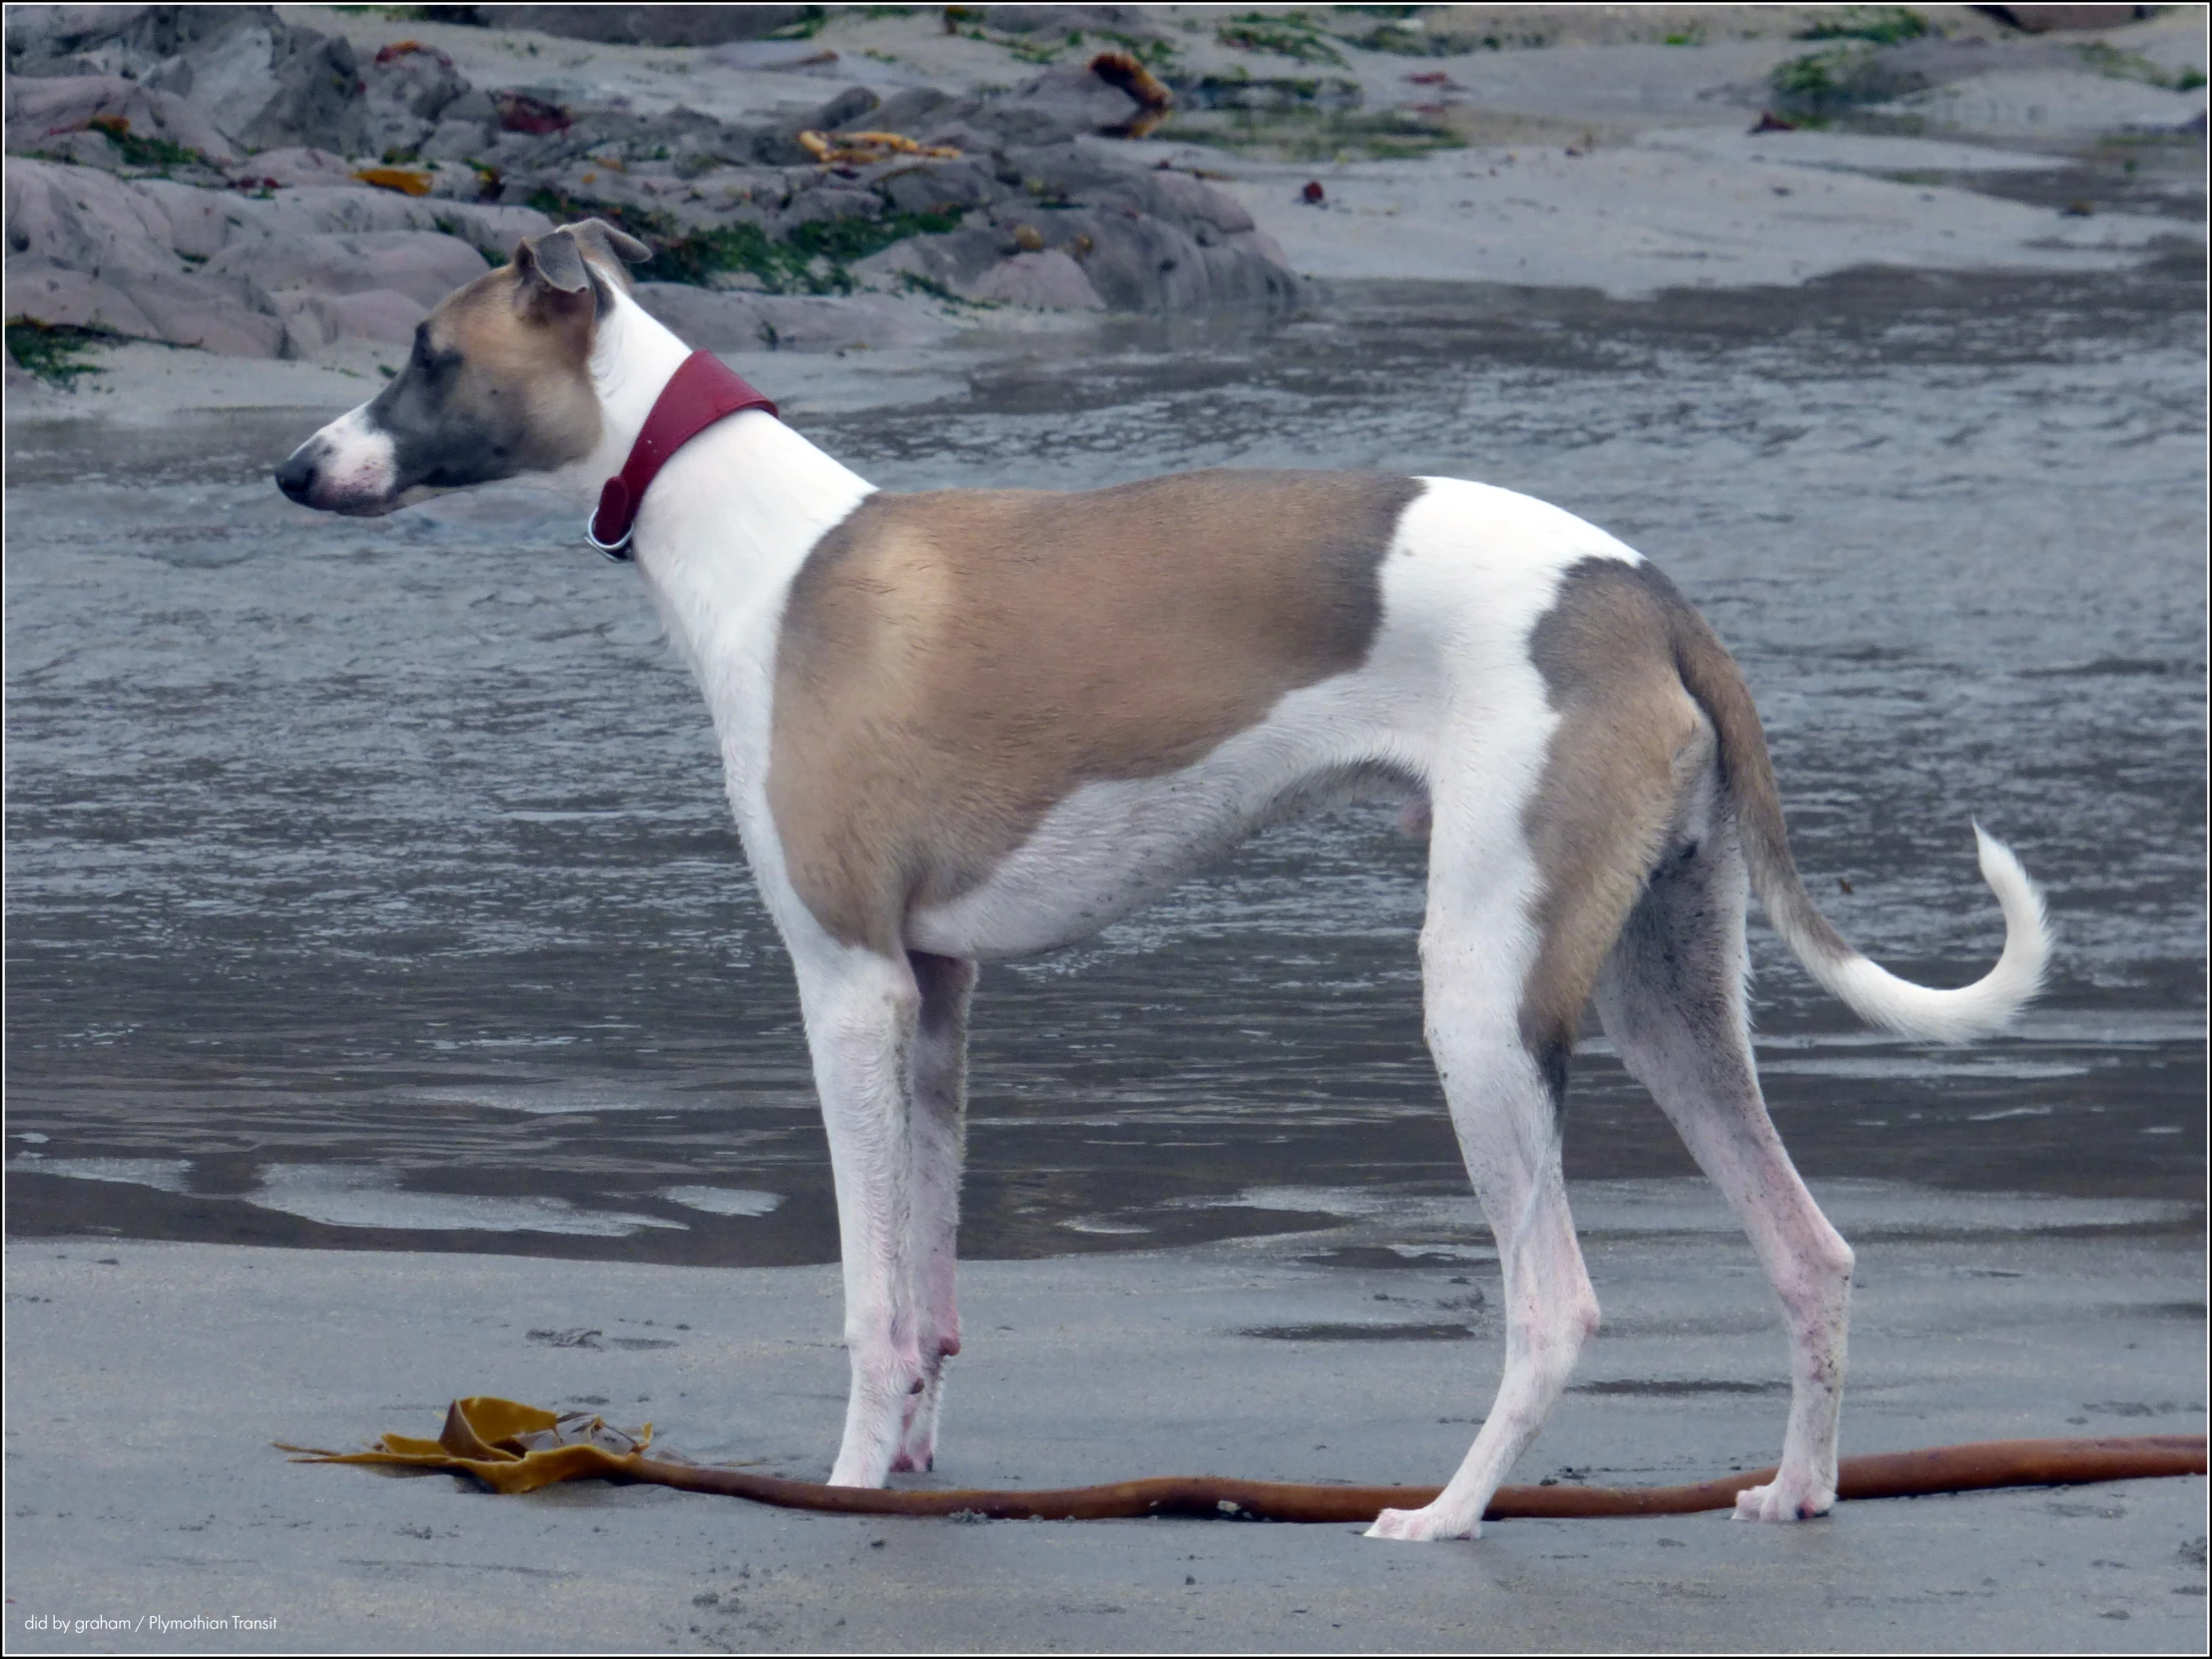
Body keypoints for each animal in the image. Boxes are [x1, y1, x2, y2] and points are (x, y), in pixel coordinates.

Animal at [280, 221, 2052, 1548]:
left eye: (425, 353)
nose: (294, 472)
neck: (771, 552)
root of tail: (1643, 590)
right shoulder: (939, 993)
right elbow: (930, 1289)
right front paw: (913, 1474)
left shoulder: (847, 983)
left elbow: (869, 1295)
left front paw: (841, 1489)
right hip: (1660, 980)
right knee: (1812, 1249)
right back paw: (1798, 1490)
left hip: (1485, 1000)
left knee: (1558, 1301)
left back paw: (1446, 1512)